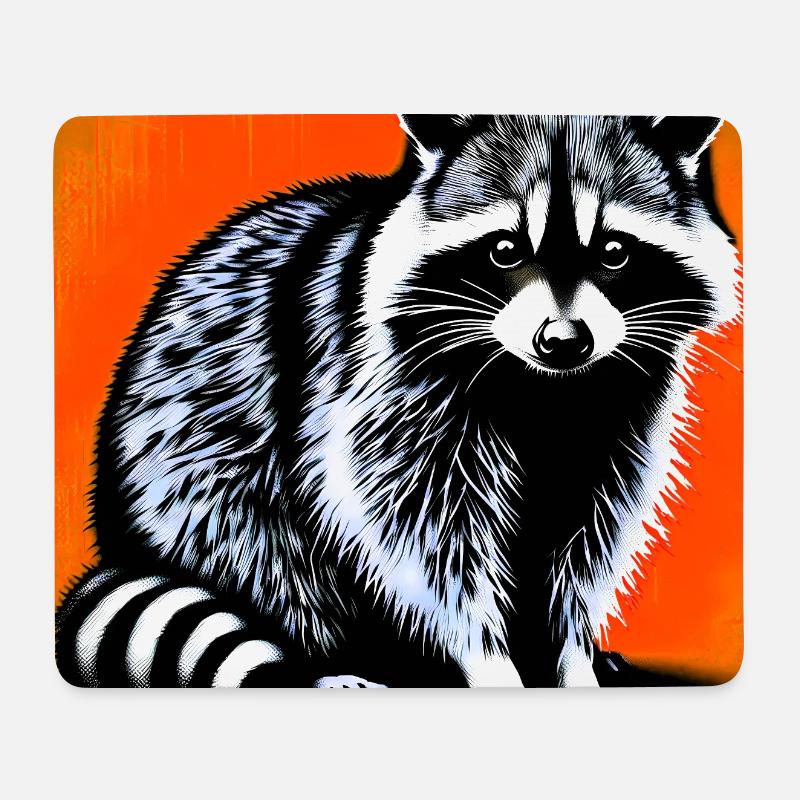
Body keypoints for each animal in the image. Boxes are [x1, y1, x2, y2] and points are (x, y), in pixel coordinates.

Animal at [56, 114, 740, 687]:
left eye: (615, 251)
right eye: (505, 250)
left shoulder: (619, 404)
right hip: (194, 471)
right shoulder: (379, 383)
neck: (543, 387)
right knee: (258, 542)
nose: (564, 341)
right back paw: (333, 660)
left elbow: (584, 538)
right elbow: (422, 535)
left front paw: (570, 654)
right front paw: (489, 660)